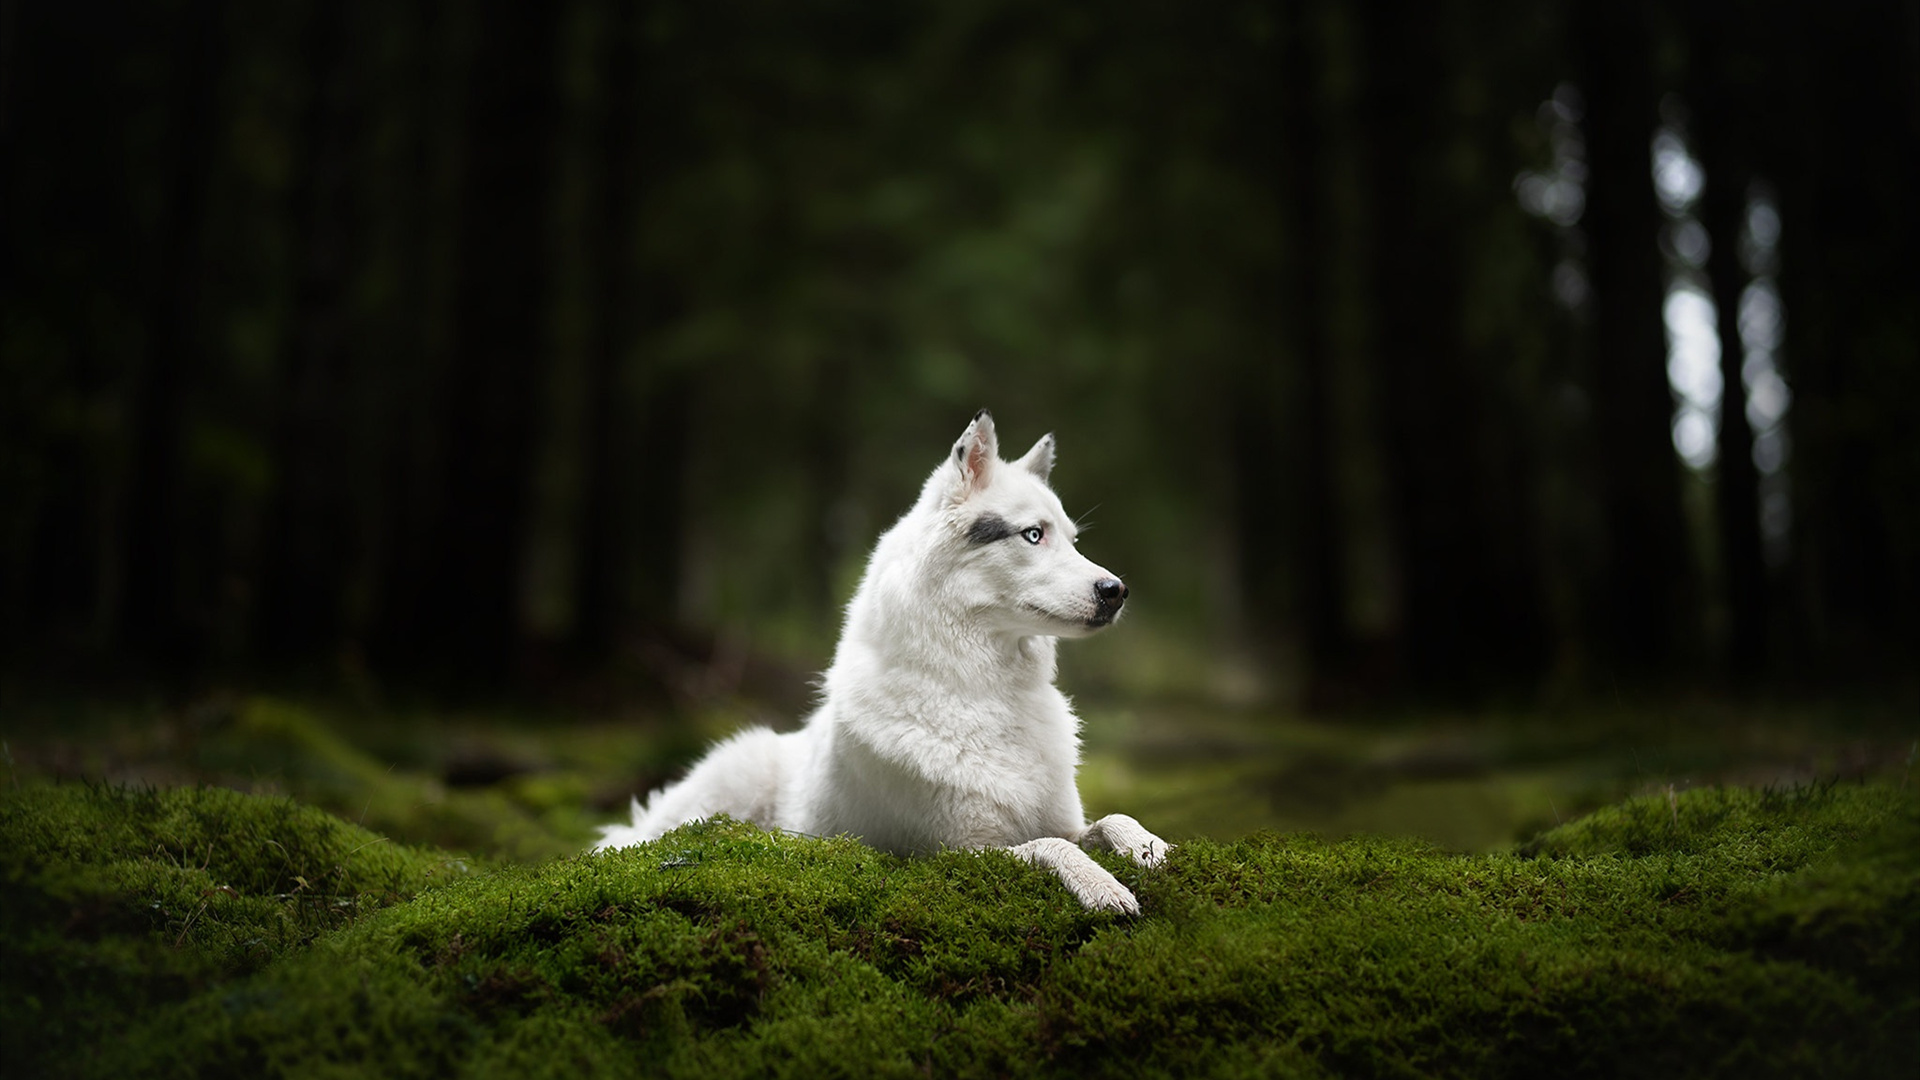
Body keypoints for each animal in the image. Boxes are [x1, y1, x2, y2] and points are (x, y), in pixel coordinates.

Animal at [599, 409, 1167, 907]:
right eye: (1033, 534)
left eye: (1072, 540)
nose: (1117, 591)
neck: (982, 692)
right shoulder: (959, 852)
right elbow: (1054, 847)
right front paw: (1101, 885)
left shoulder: (1066, 820)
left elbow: (1112, 821)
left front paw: (1153, 849)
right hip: (732, 774)